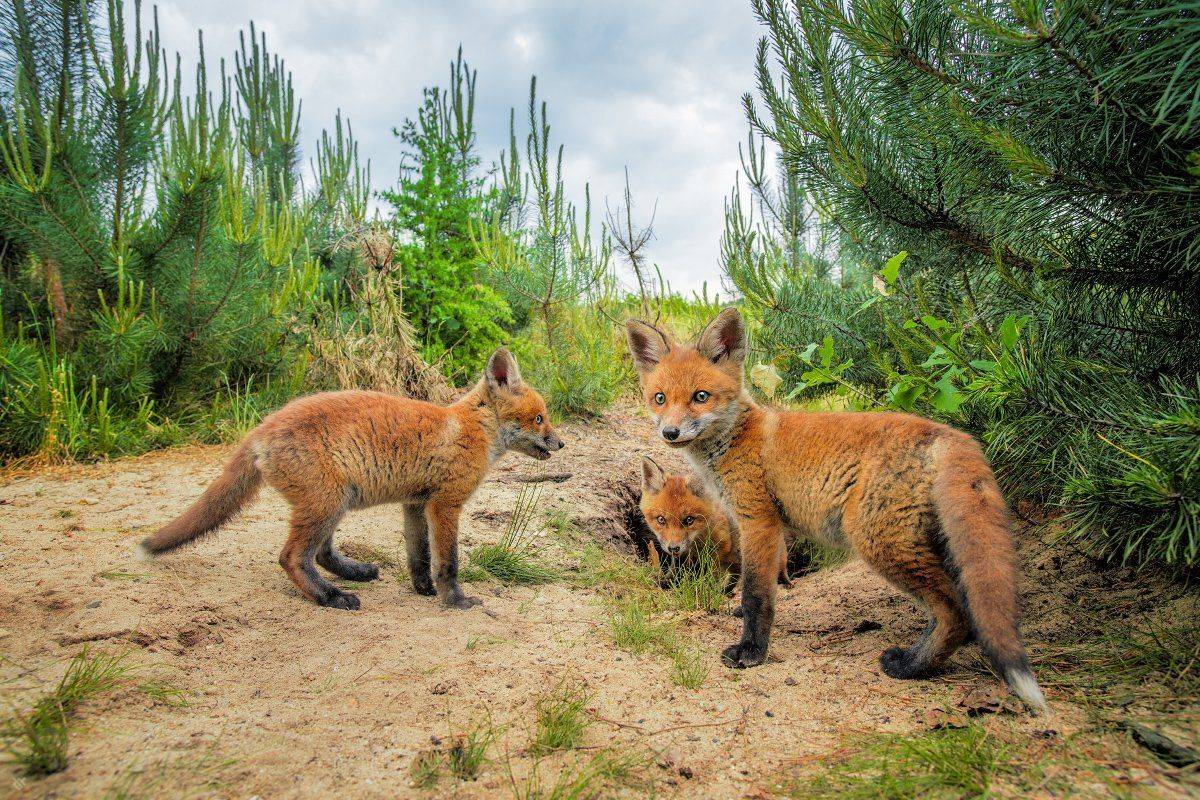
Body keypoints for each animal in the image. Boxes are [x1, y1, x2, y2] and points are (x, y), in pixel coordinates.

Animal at [140, 347, 564, 611]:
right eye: (539, 418)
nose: (561, 443)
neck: (471, 430)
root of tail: (262, 427)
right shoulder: (445, 504)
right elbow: (449, 563)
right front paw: (455, 600)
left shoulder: (415, 503)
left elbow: (419, 558)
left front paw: (424, 591)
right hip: (327, 502)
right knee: (292, 557)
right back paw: (331, 597)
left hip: (333, 503)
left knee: (322, 553)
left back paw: (355, 574)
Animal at [625, 308, 1046, 713]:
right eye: (660, 398)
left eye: (700, 396)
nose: (670, 433)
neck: (737, 439)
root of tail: (952, 434)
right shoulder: (766, 526)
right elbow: (761, 587)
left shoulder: (758, 521)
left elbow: (756, 595)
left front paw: (751, 652)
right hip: (928, 542)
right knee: (967, 610)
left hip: (879, 542)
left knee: (955, 612)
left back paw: (912, 667)